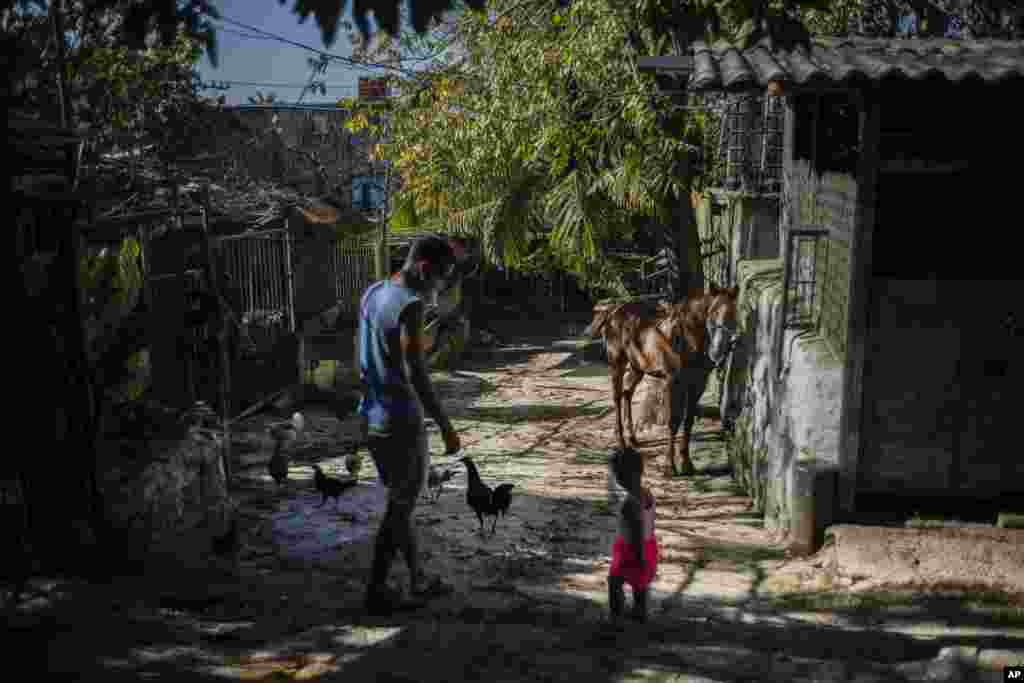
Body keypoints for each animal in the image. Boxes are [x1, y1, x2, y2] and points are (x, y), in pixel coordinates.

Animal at [589, 284, 741, 475]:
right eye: (713, 312)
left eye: (734, 314)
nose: (719, 350)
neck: (685, 338)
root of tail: (613, 311)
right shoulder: (672, 381)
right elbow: (673, 421)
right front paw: (670, 466)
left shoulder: (698, 383)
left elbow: (688, 421)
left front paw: (687, 463)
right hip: (617, 363)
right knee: (616, 396)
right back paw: (621, 441)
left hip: (637, 367)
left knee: (627, 393)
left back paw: (632, 438)